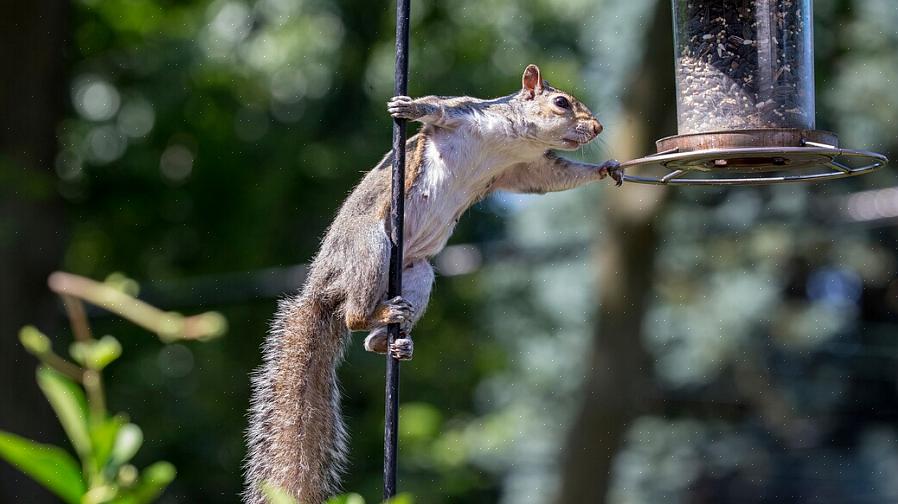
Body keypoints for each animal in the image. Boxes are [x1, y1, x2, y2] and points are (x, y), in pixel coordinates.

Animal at [242, 64, 620, 504]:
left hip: (418, 272)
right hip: (370, 246)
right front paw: (408, 107)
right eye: (561, 102)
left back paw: (392, 341)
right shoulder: (465, 114)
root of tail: (321, 290)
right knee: (354, 316)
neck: (516, 140)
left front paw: (606, 168)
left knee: (370, 333)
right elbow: (437, 108)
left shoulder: (525, 169)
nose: (598, 127)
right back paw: (376, 319)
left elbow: (554, 178)